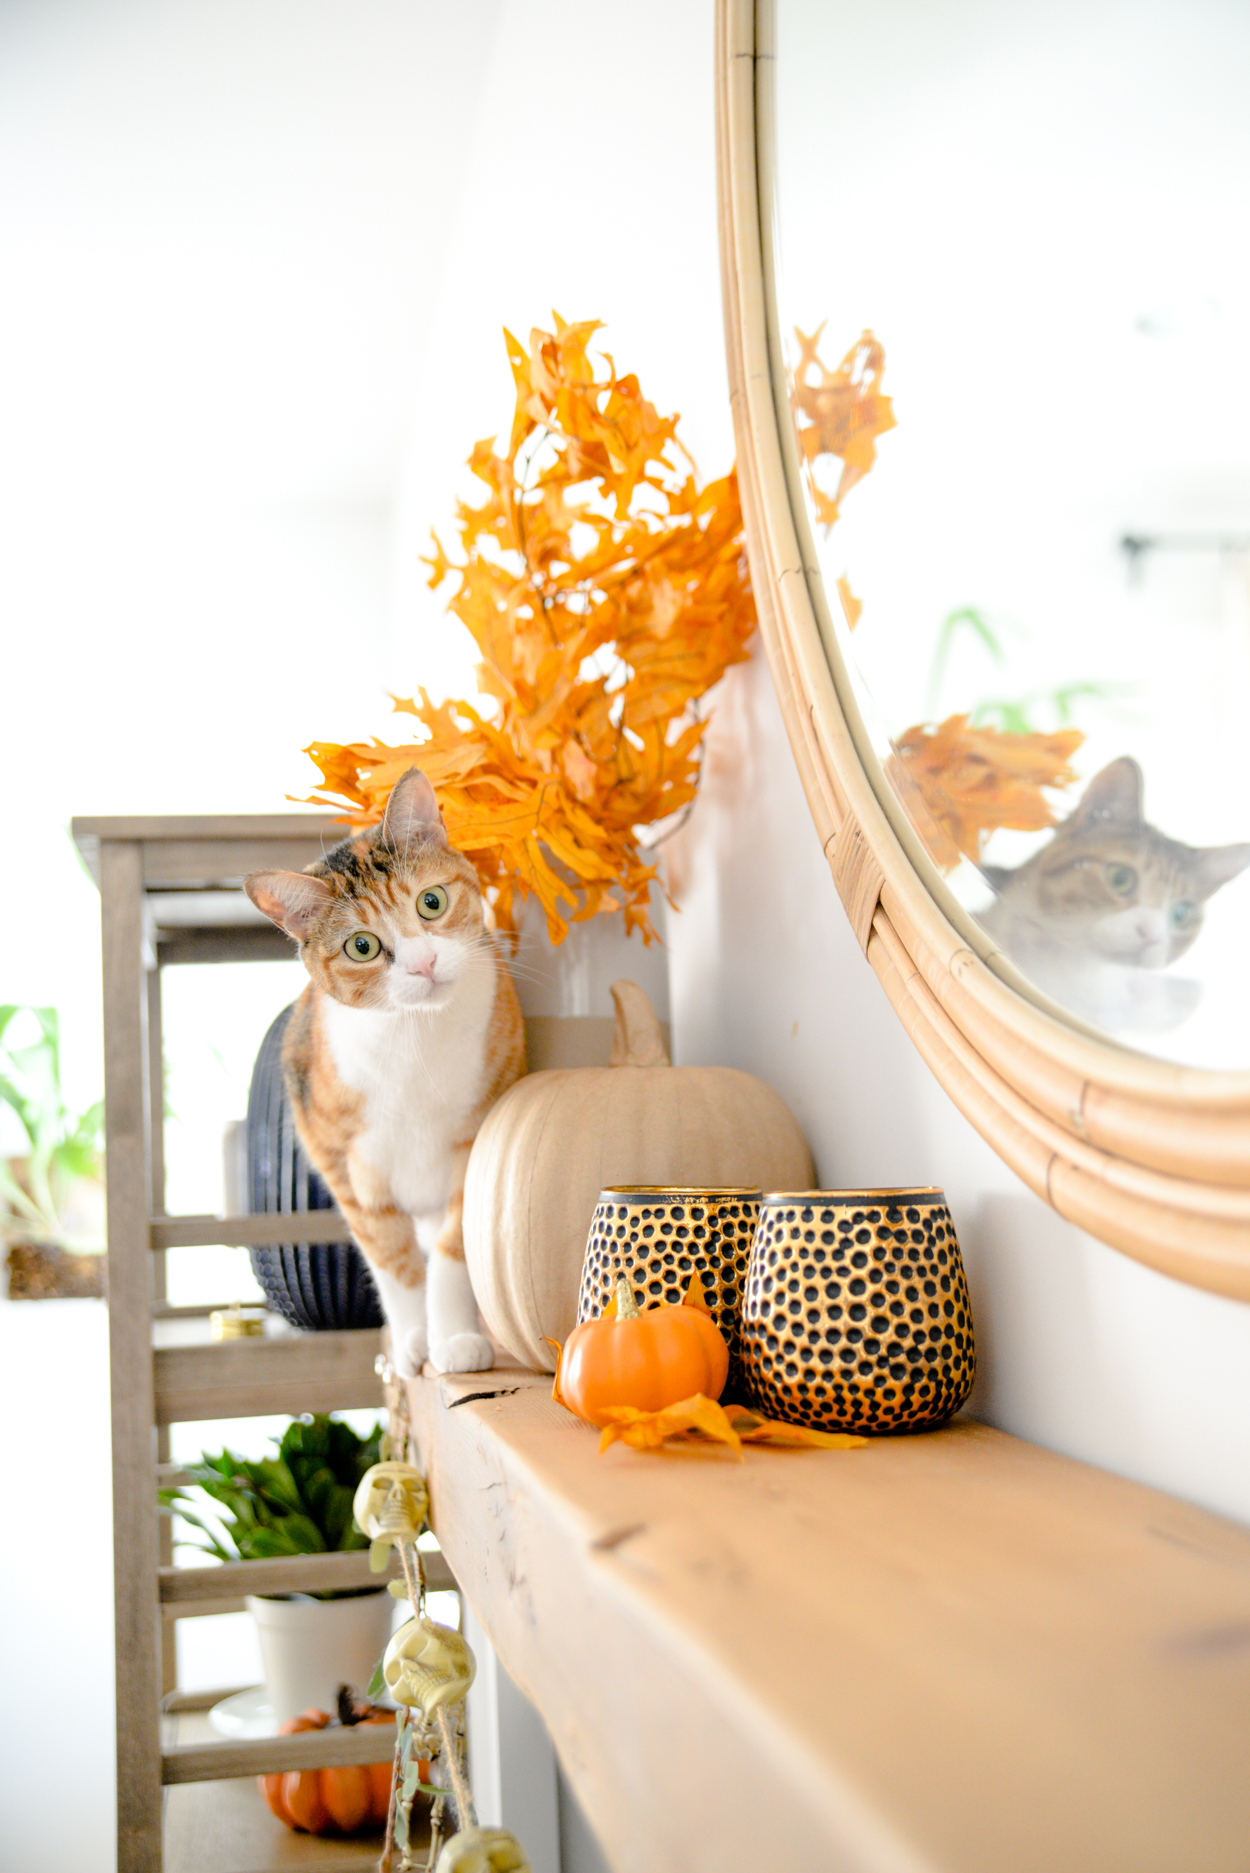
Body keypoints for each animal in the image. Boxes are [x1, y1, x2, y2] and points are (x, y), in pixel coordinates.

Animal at [247, 764, 524, 1378]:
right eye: (361, 945)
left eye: (431, 902)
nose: (423, 963)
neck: (415, 1043)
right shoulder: (348, 1168)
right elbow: (393, 1261)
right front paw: (415, 1340)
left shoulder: (475, 1141)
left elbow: (451, 1251)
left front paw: (455, 1338)